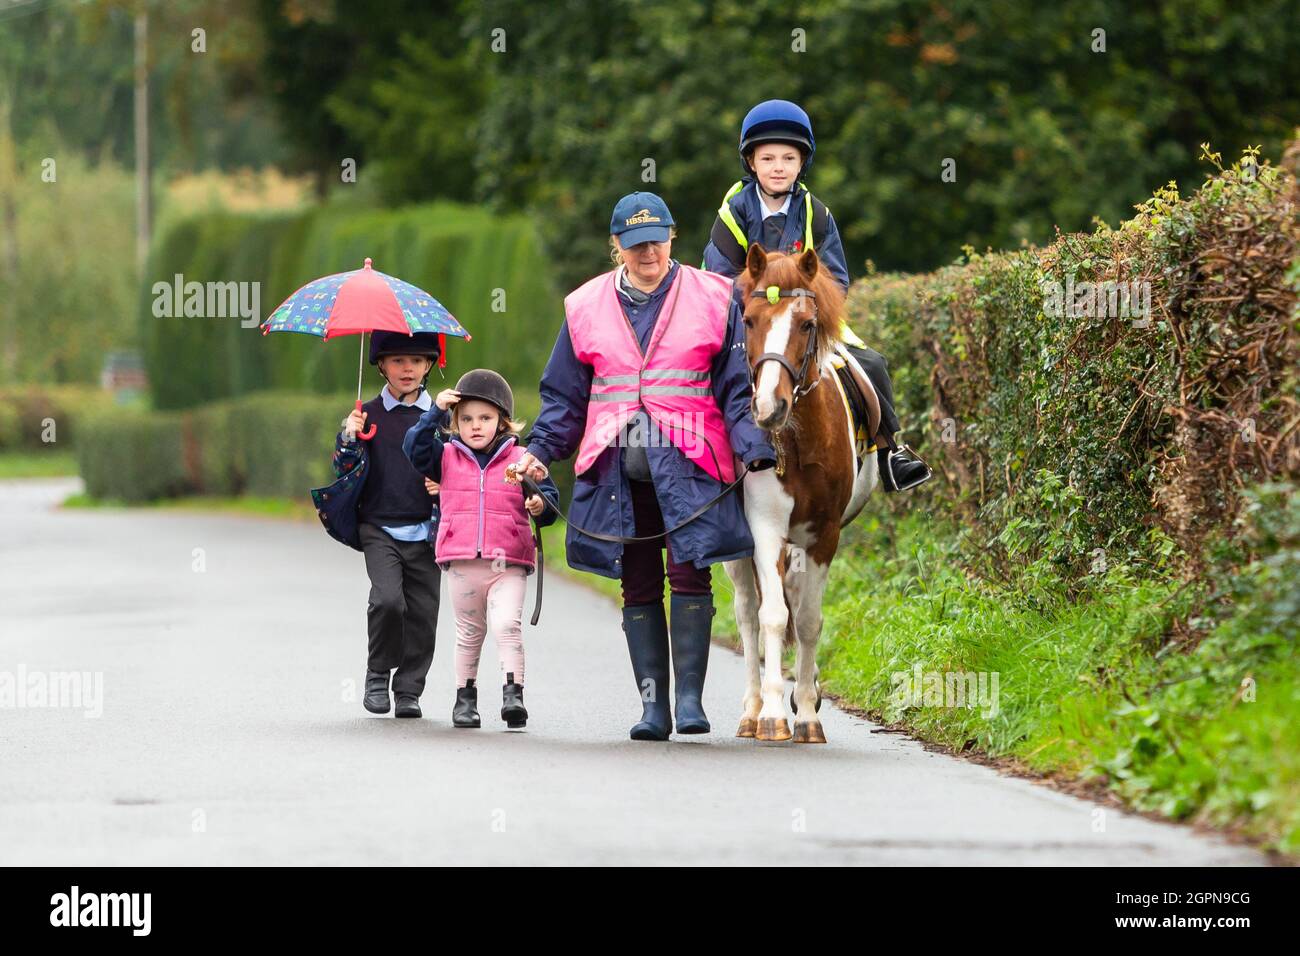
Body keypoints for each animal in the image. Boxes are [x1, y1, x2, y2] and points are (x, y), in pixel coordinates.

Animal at [722, 243, 883, 743]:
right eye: (749, 320)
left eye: (808, 324)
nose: (768, 408)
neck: (794, 439)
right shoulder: (765, 530)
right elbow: (772, 617)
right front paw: (774, 713)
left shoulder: (823, 534)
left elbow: (809, 619)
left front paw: (808, 711)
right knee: (749, 613)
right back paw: (752, 710)